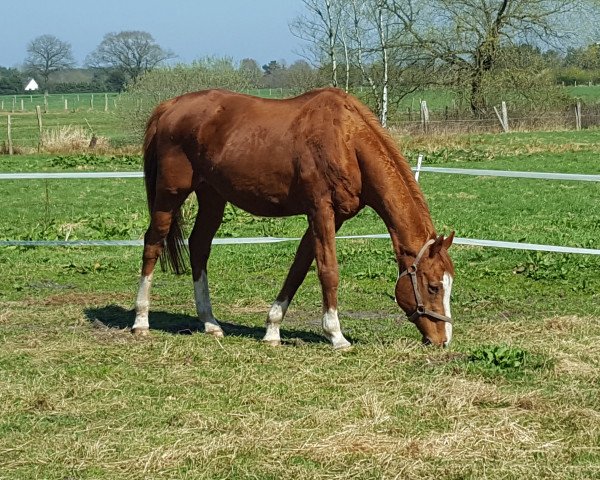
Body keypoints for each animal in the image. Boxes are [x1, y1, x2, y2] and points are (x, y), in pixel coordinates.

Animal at [132, 88, 454, 346]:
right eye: (433, 286)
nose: (443, 339)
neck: (346, 140)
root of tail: (169, 106)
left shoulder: (333, 217)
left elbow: (299, 268)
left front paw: (272, 330)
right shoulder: (320, 210)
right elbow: (328, 271)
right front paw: (336, 335)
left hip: (212, 196)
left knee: (199, 246)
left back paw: (210, 323)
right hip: (170, 194)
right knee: (153, 243)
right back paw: (141, 321)